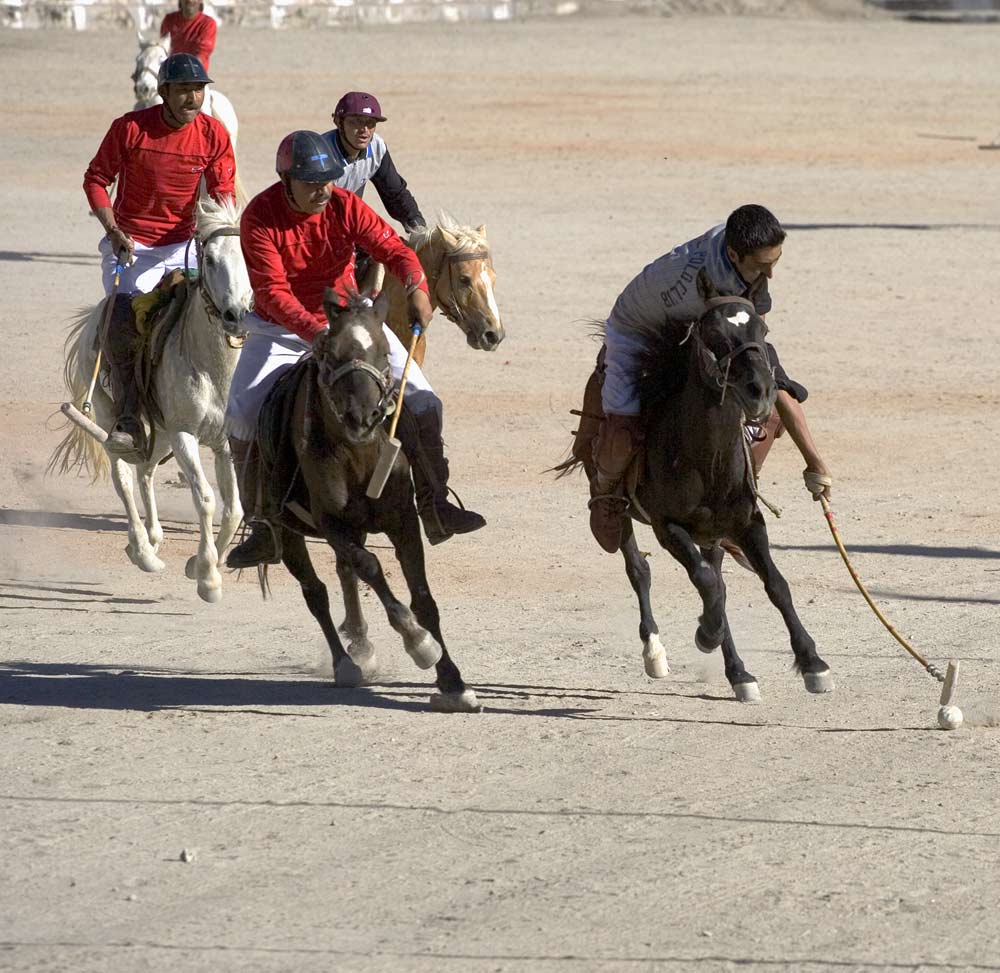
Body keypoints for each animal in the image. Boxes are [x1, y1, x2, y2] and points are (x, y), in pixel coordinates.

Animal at [50, 194, 254, 604]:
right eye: (210, 259)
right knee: (124, 475)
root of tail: (93, 319)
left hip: (159, 433)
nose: (236, 315)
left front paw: (197, 564)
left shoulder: (223, 443)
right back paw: (143, 550)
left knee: (145, 470)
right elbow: (206, 499)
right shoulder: (185, 435)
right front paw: (207, 577)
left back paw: (153, 538)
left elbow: (235, 509)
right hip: (113, 416)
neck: (211, 365)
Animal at [256, 284, 478, 712]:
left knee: (343, 575)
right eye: (332, 355)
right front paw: (419, 643)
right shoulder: (332, 524)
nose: (364, 417)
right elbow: (370, 567)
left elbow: (423, 599)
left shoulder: (403, 521)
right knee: (316, 591)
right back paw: (345, 663)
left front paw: (452, 682)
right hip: (286, 532)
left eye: (384, 351)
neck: (358, 454)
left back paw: (359, 642)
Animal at [560, 268, 832, 700]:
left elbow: (775, 584)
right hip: (620, 508)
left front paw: (813, 662)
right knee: (639, 567)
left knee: (715, 576)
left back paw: (739, 673)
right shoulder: (668, 526)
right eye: (714, 334)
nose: (761, 390)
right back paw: (656, 651)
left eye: (762, 329)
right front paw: (706, 633)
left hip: (714, 534)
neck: (707, 460)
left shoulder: (748, 522)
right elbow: (706, 584)